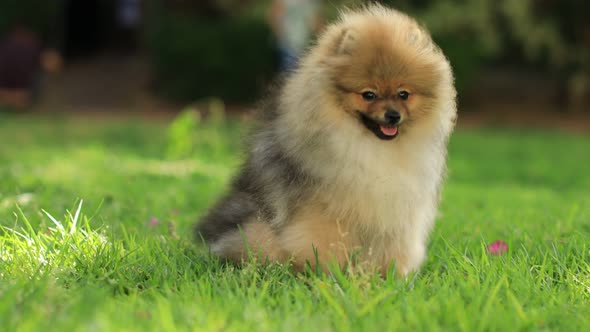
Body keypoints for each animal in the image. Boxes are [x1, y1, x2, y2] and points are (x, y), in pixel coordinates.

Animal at [194, 4, 458, 274]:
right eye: (369, 95)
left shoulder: (395, 211)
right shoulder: (324, 209)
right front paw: (330, 273)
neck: (373, 148)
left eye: (403, 94)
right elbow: (323, 241)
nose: (393, 115)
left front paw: (388, 275)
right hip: (255, 230)